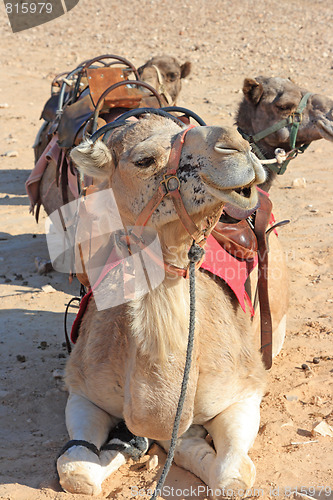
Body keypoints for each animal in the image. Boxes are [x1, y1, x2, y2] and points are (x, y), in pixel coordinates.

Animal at [55, 114, 278, 496]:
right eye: (144, 160)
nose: (237, 144)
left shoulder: (246, 389)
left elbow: (232, 477)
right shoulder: (81, 388)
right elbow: (76, 473)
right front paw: (126, 443)